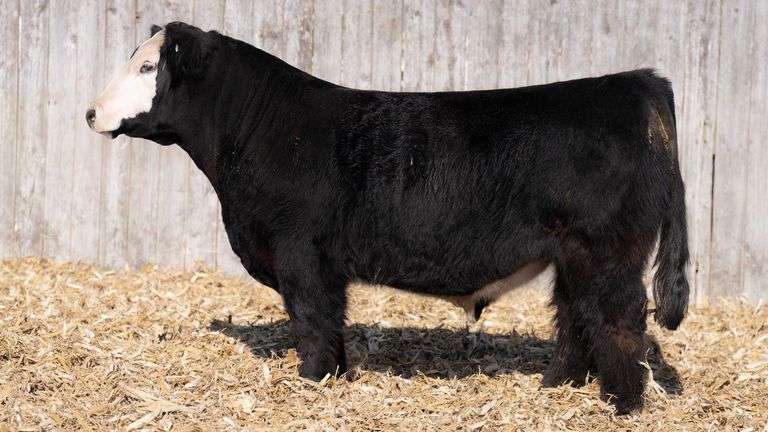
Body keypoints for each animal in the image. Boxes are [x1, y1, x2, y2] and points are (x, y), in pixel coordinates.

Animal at [87, 22, 690, 414]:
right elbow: (329, 320)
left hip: (607, 252)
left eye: (148, 66)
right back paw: (557, 385)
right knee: (575, 315)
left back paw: (623, 405)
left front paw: (312, 379)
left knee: (618, 319)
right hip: (573, 255)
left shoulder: (301, 253)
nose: (91, 112)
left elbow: (312, 318)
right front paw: (334, 374)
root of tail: (635, 83)